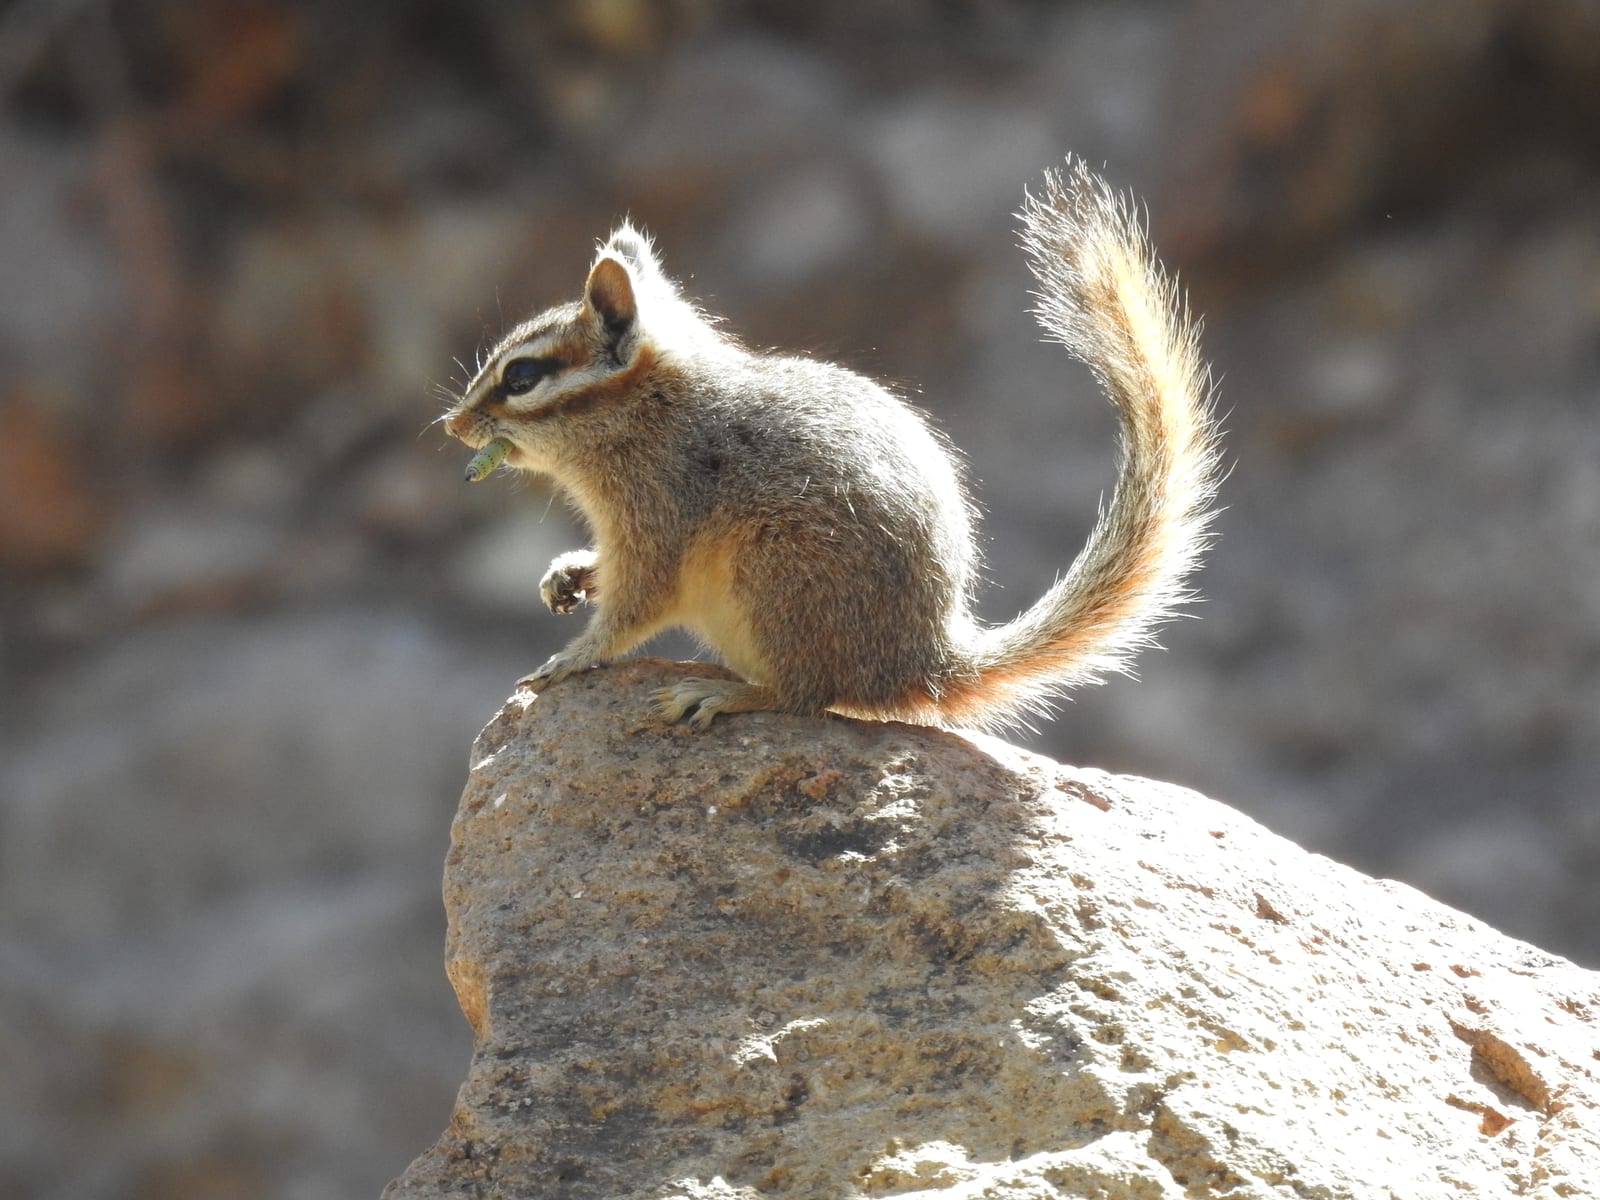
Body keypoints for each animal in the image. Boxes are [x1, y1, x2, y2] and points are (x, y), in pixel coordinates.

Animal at [443, 157, 1219, 731]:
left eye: (521, 376)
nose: (453, 425)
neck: (650, 414)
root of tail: (922, 661)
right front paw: (569, 573)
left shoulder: (657, 519)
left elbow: (635, 607)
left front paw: (574, 657)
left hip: (774, 575)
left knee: (807, 696)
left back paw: (727, 694)